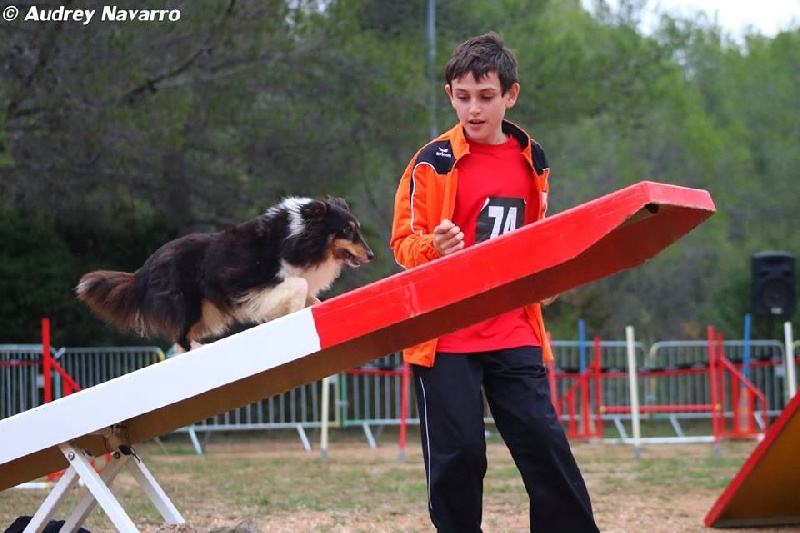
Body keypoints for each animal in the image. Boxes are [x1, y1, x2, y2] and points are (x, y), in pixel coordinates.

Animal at [75, 193, 376, 352]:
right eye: (347, 230)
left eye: (358, 229)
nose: (371, 255)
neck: (300, 237)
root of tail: (144, 270)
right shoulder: (252, 284)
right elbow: (299, 285)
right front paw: (291, 310)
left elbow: (310, 296)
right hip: (188, 303)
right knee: (180, 337)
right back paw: (197, 348)